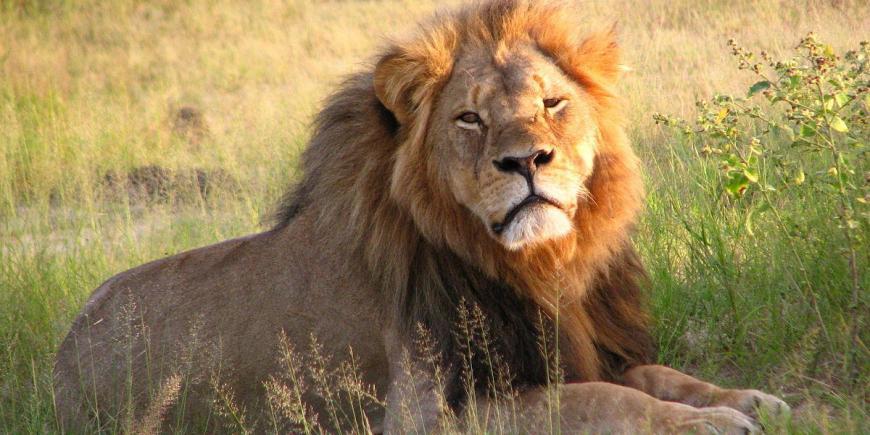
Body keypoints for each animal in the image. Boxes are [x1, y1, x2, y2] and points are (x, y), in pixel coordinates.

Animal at [54, 1, 789, 433]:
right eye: (469, 118)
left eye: (552, 103)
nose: (527, 161)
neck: (540, 267)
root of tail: (60, 355)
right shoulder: (425, 415)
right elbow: (599, 400)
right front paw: (707, 423)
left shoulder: (571, 345)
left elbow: (655, 376)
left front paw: (748, 399)